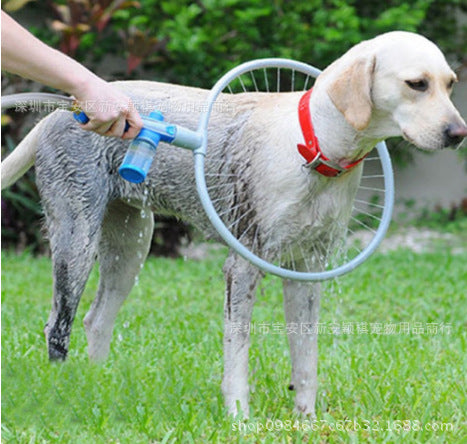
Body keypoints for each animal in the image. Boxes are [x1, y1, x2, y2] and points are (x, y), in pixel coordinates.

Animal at [3, 31, 467, 416]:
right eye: (416, 84)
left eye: (450, 84)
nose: (458, 133)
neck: (312, 145)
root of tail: (57, 113)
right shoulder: (242, 268)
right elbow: (237, 353)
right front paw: (240, 417)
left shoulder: (307, 271)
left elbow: (306, 357)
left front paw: (307, 420)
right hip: (76, 237)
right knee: (58, 326)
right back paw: (62, 393)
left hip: (131, 245)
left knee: (96, 320)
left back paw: (99, 389)